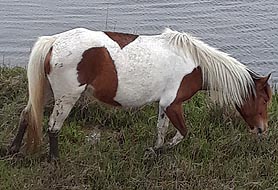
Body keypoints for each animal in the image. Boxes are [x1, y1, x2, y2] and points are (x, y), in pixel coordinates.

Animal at [9, 27, 272, 160]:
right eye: (264, 99)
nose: (262, 129)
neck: (196, 64)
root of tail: (53, 41)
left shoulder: (164, 105)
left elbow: (161, 129)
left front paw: (154, 150)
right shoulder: (173, 104)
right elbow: (182, 133)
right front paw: (159, 150)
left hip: (47, 92)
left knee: (27, 115)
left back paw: (13, 150)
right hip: (66, 97)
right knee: (53, 127)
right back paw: (54, 160)